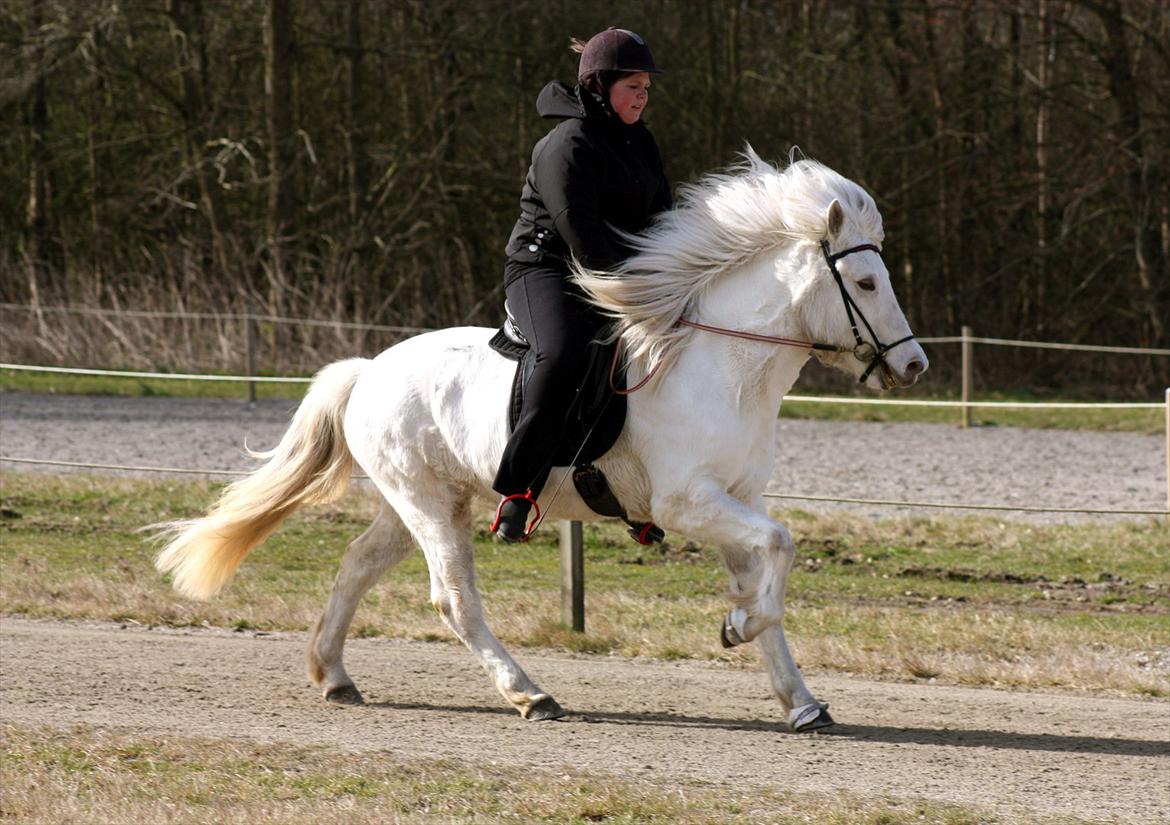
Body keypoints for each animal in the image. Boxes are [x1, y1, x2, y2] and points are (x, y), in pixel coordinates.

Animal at [155, 153, 926, 725]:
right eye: (865, 281)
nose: (915, 365)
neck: (725, 365)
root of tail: (367, 369)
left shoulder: (736, 497)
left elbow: (766, 576)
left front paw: (798, 698)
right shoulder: (687, 501)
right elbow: (780, 548)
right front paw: (735, 627)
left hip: (418, 501)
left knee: (356, 567)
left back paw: (335, 676)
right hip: (431, 505)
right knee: (454, 599)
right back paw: (529, 693)